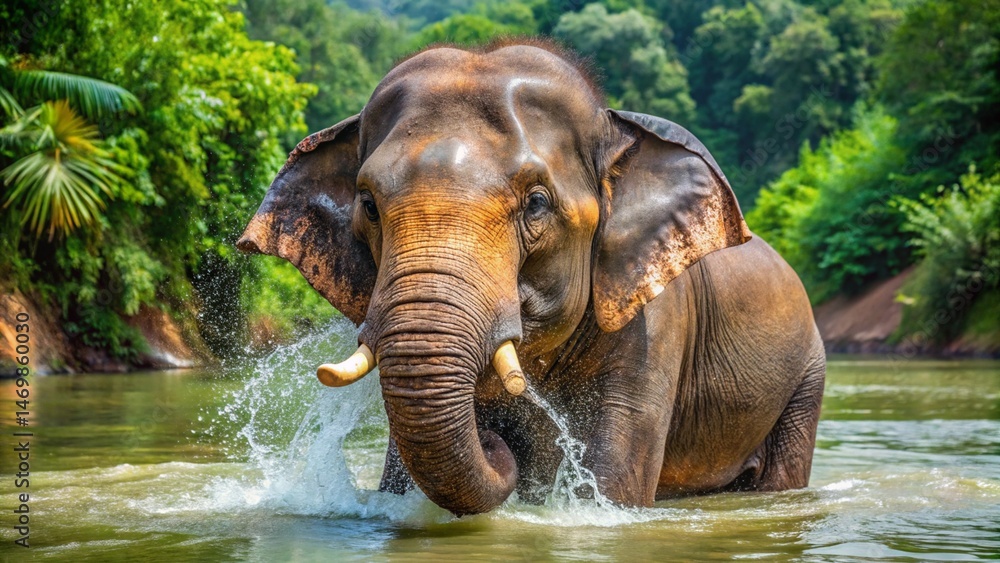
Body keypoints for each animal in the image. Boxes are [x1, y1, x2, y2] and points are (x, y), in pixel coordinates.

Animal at [237, 40, 826, 516]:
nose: (495, 444)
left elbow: (612, 481)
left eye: (537, 203)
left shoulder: (656, 322)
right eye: (368, 205)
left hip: (806, 377)